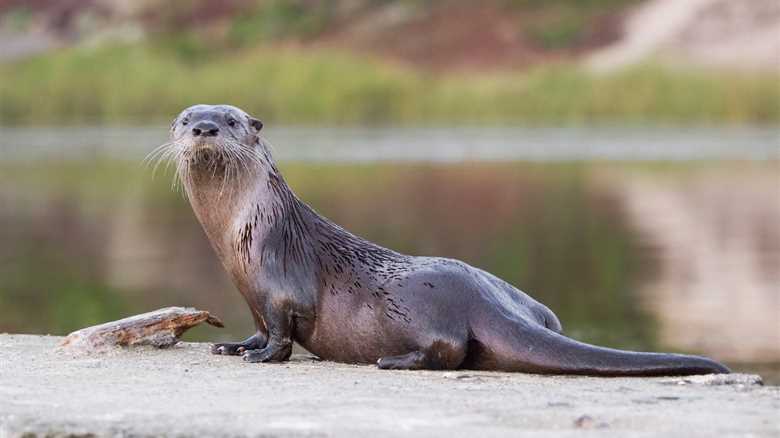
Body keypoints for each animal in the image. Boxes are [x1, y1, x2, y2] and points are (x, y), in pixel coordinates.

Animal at [150, 104, 729, 376]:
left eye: (230, 120)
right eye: (185, 117)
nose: (204, 128)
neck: (243, 232)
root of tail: (482, 299)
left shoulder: (280, 287)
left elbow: (281, 335)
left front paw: (261, 357)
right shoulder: (252, 295)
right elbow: (255, 327)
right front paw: (233, 346)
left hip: (412, 307)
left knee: (448, 349)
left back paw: (394, 361)